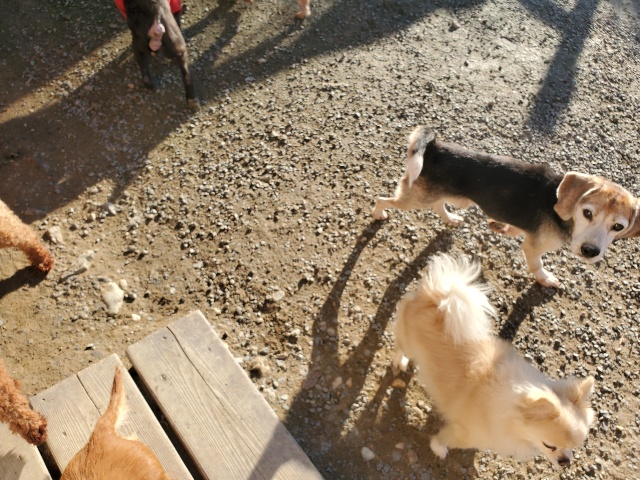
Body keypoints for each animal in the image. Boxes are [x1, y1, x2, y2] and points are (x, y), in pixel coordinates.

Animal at [373, 126, 640, 287]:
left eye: (618, 226)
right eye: (587, 213)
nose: (590, 251)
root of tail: (434, 148)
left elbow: (512, 229)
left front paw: (500, 227)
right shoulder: (533, 247)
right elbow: (537, 265)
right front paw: (546, 279)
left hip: (443, 197)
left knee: (439, 205)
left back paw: (451, 219)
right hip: (411, 199)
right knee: (381, 199)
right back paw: (379, 214)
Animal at [393, 254, 595, 467]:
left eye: (573, 447)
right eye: (550, 446)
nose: (566, 461)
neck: (512, 411)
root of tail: (439, 296)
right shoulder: (465, 433)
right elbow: (445, 439)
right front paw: (438, 449)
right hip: (409, 342)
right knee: (401, 347)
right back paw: (401, 362)